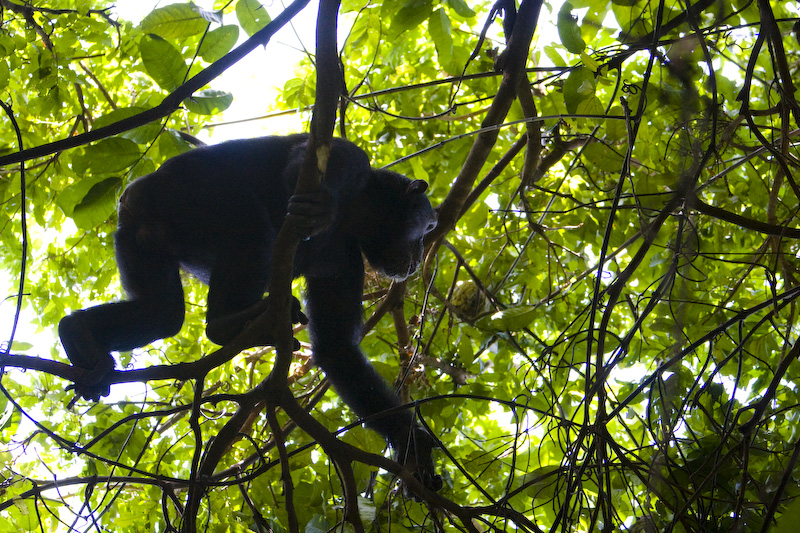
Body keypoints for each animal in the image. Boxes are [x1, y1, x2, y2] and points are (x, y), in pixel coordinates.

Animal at [58, 134, 440, 490]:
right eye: (428, 228)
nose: (419, 255)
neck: (354, 216)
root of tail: (131, 196)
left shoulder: (344, 262)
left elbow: (337, 350)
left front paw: (413, 446)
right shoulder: (352, 160)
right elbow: (302, 167)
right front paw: (321, 206)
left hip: (135, 236)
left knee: (160, 313)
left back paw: (81, 335)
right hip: (181, 198)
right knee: (248, 223)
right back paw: (229, 324)